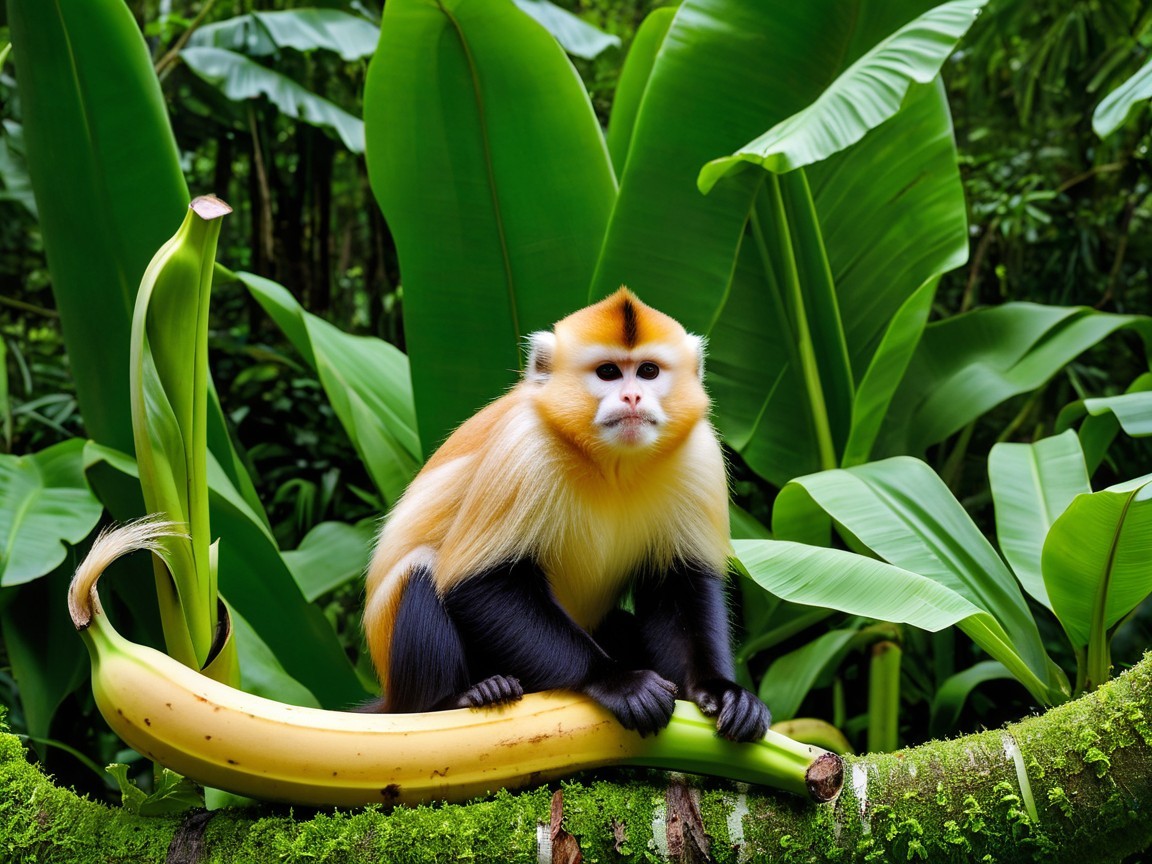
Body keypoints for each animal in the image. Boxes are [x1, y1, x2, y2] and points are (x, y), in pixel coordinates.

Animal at [360, 288, 770, 742]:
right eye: (608, 372)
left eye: (647, 371)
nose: (632, 397)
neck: (612, 466)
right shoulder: (525, 446)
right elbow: (479, 583)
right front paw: (616, 680)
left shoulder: (697, 452)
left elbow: (681, 582)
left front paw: (717, 689)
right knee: (422, 570)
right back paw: (459, 697)